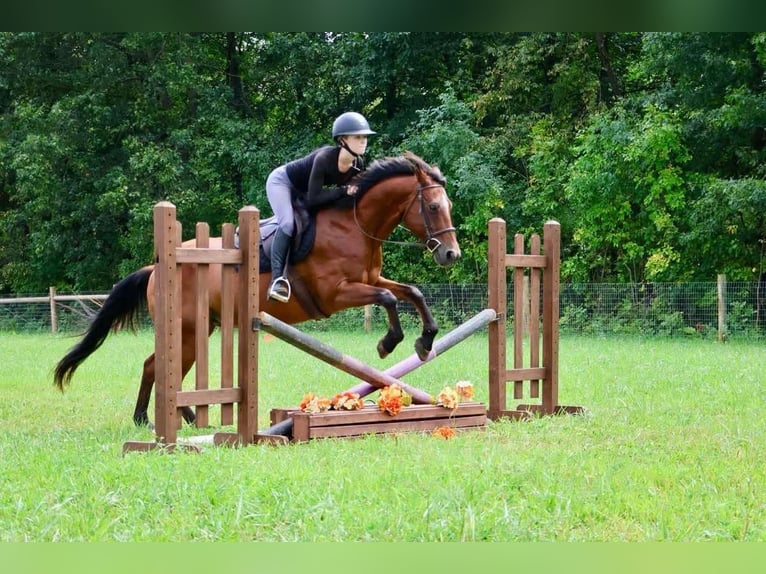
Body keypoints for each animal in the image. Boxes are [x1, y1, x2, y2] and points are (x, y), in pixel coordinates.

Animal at [55, 153, 462, 428]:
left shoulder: (371, 279)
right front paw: (387, 343)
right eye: (432, 206)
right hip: (188, 330)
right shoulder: (335, 294)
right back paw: (161, 419)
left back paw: (171, 417)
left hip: (200, 329)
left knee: (157, 366)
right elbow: (390, 298)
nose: (451, 254)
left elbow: (410, 292)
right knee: (160, 366)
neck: (355, 224)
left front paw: (425, 341)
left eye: (448, 204)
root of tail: (155, 268)